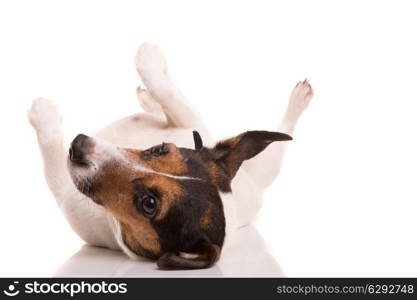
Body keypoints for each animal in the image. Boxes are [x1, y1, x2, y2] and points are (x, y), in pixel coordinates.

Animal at [28, 42, 312, 270]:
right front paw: (151, 66)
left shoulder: (66, 192)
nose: (78, 144)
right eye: (160, 148)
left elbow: (51, 149)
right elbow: (170, 96)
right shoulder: (189, 124)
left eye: (149, 204)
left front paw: (43, 115)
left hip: (266, 168)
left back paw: (299, 99)